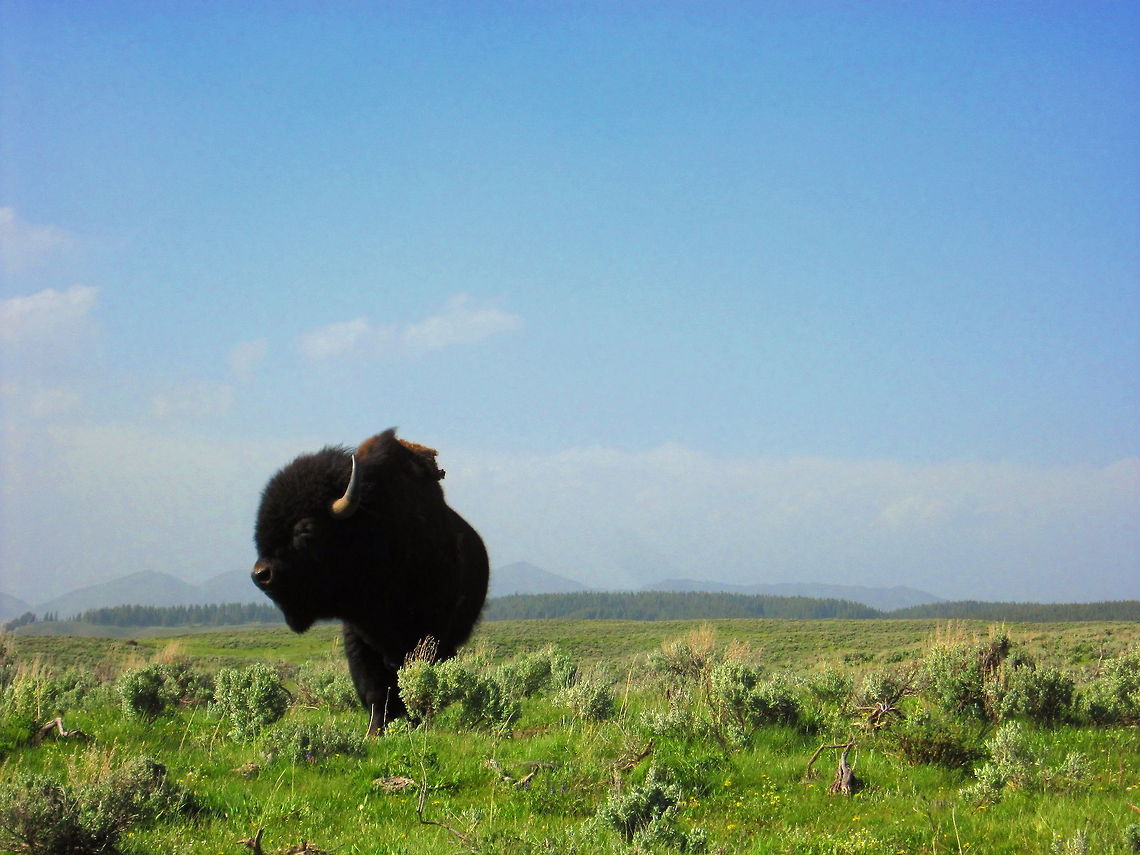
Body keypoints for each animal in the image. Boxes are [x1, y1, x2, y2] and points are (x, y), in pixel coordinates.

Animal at [251, 428, 489, 733]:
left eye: (306, 529)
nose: (261, 574)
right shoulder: (358, 636)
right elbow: (375, 690)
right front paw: (375, 731)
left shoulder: (428, 634)